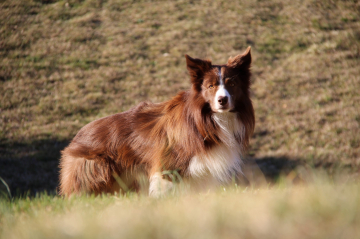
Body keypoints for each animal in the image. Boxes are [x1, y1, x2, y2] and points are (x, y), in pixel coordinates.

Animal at [59, 46, 255, 196]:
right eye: (211, 86)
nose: (222, 100)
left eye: (232, 84)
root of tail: (77, 136)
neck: (209, 119)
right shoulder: (169, 161)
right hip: (97, 166)